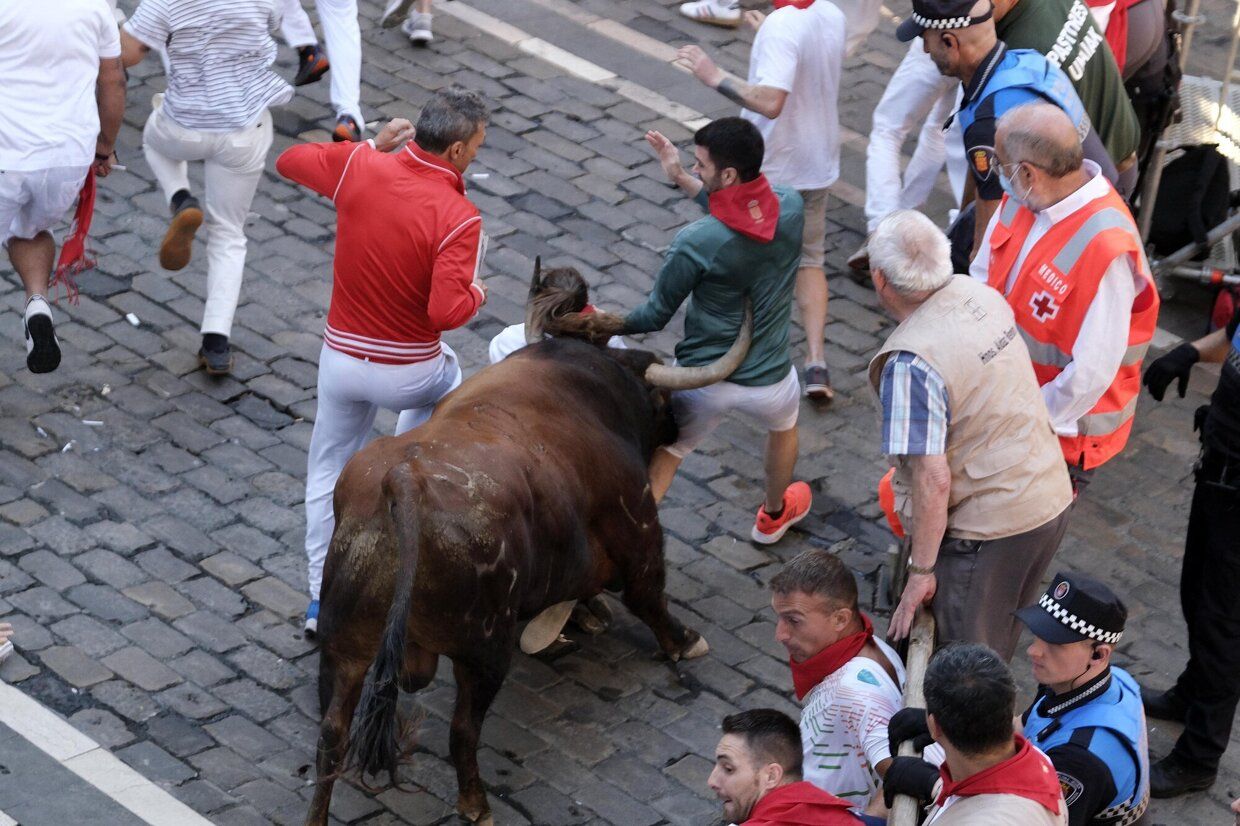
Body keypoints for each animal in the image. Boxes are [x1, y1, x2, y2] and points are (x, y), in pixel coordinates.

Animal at [307, 271, 753, 823]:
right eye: (658, 400)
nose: (677, 423)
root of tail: (404, 480)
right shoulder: (637, 520)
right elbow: (648, 593)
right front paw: (682, 639)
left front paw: (579, 618)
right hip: (483, 650)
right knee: (462, 731)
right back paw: (476, 804)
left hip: (343, 643)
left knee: (332, 734)